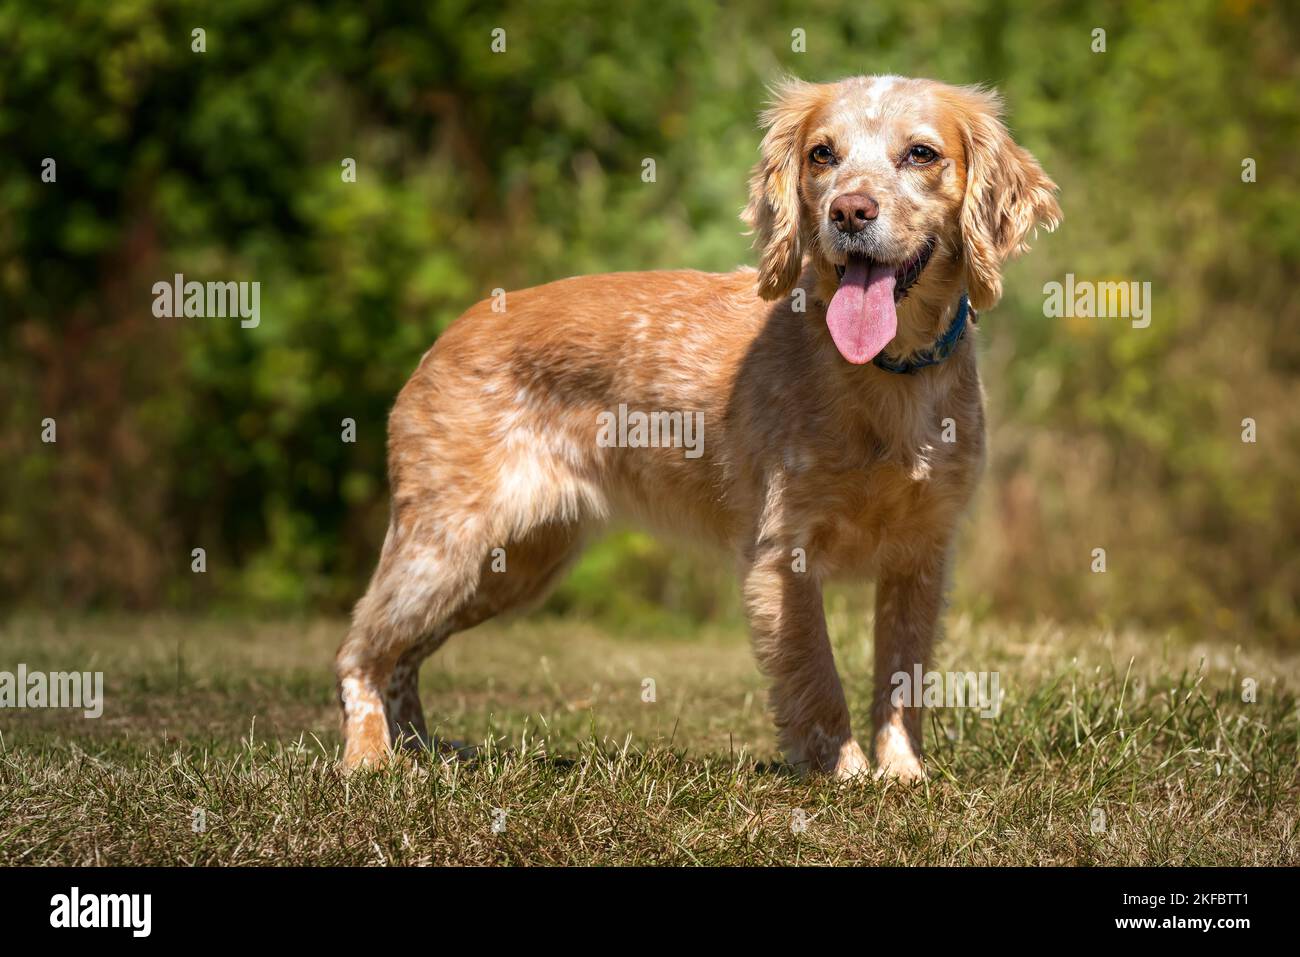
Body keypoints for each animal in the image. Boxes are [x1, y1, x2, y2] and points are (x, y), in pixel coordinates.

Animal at [340, 72, 1060, 780]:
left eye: (921, 153)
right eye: (822, 154)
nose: (849, 211)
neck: (887, 375)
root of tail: (445, 337)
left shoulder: (923, 553)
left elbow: (902, 677)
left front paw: (903, 770)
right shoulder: (782, 555)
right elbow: (819, 679)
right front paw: (847, 772)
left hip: (511, 564)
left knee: (402, 656)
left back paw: (422, 750)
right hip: (444, 547)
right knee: (359, 648)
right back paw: (369, 758)